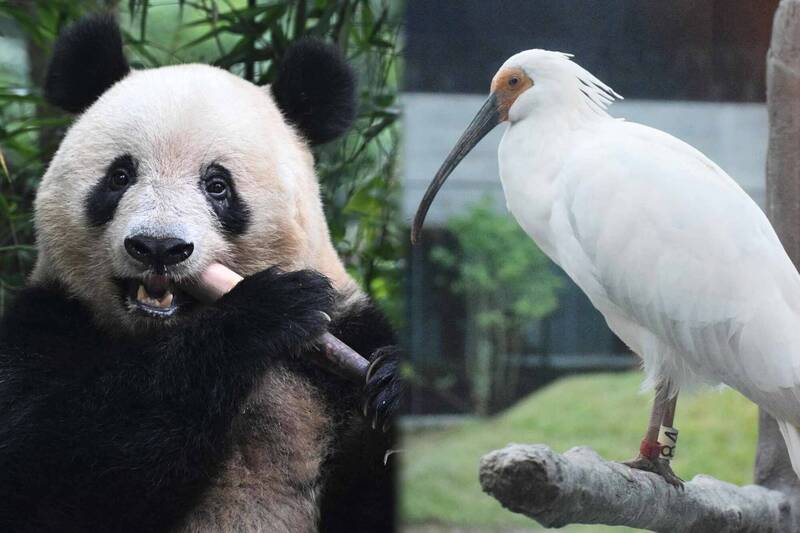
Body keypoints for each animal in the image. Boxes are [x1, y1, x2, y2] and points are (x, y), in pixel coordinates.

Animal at [0, 13, 400, 532]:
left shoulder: (347, 341)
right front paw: (265, 311)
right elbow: (46, 463)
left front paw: (394, 381)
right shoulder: (46, 319)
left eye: (217, 186)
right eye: (120, 176)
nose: (158, 247)